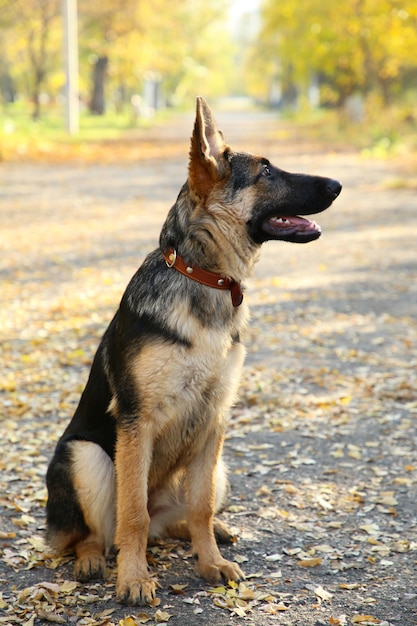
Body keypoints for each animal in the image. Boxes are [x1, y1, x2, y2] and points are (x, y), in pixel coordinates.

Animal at [45, 97, 340, 604]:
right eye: (265, 170)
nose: (338, 184)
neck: (203, 277)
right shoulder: (136, 423)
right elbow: (132, 514)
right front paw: (134, 578)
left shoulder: (214, 420)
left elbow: (199, 507)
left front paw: (210, 562)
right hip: (86, 456)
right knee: (96, 534)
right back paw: (92, 560)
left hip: (219, 466)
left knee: (175, 521)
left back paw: (208, 533)